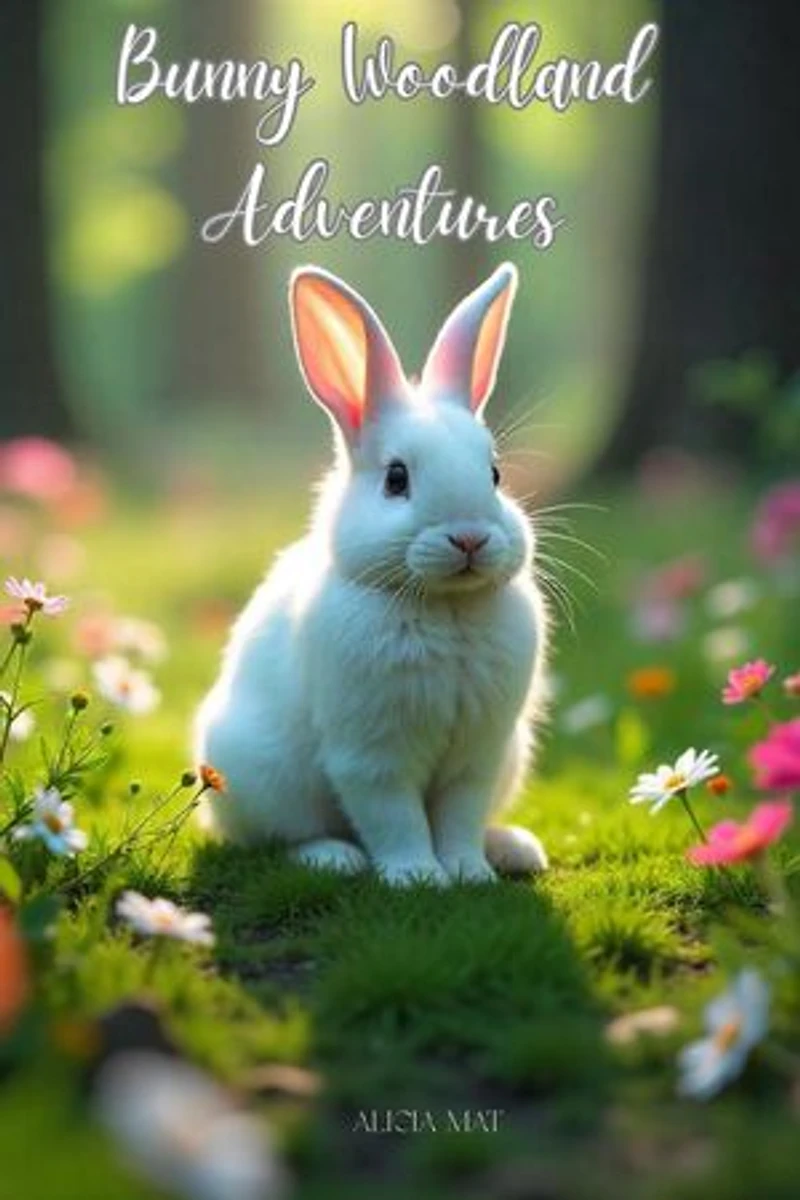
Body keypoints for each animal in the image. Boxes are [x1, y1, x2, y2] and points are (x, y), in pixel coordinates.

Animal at [194, 261, 549, 887]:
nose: (470, 538)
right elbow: (395, 817)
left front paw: (470, 873)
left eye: (496, 474)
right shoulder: (371, 755)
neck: (444, 605)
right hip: (263, 779)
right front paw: (418, 878)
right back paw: (332, 857)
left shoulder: (479, 754)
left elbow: (459, 816)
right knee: (279, 837)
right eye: (396, 478)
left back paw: (514, 848)